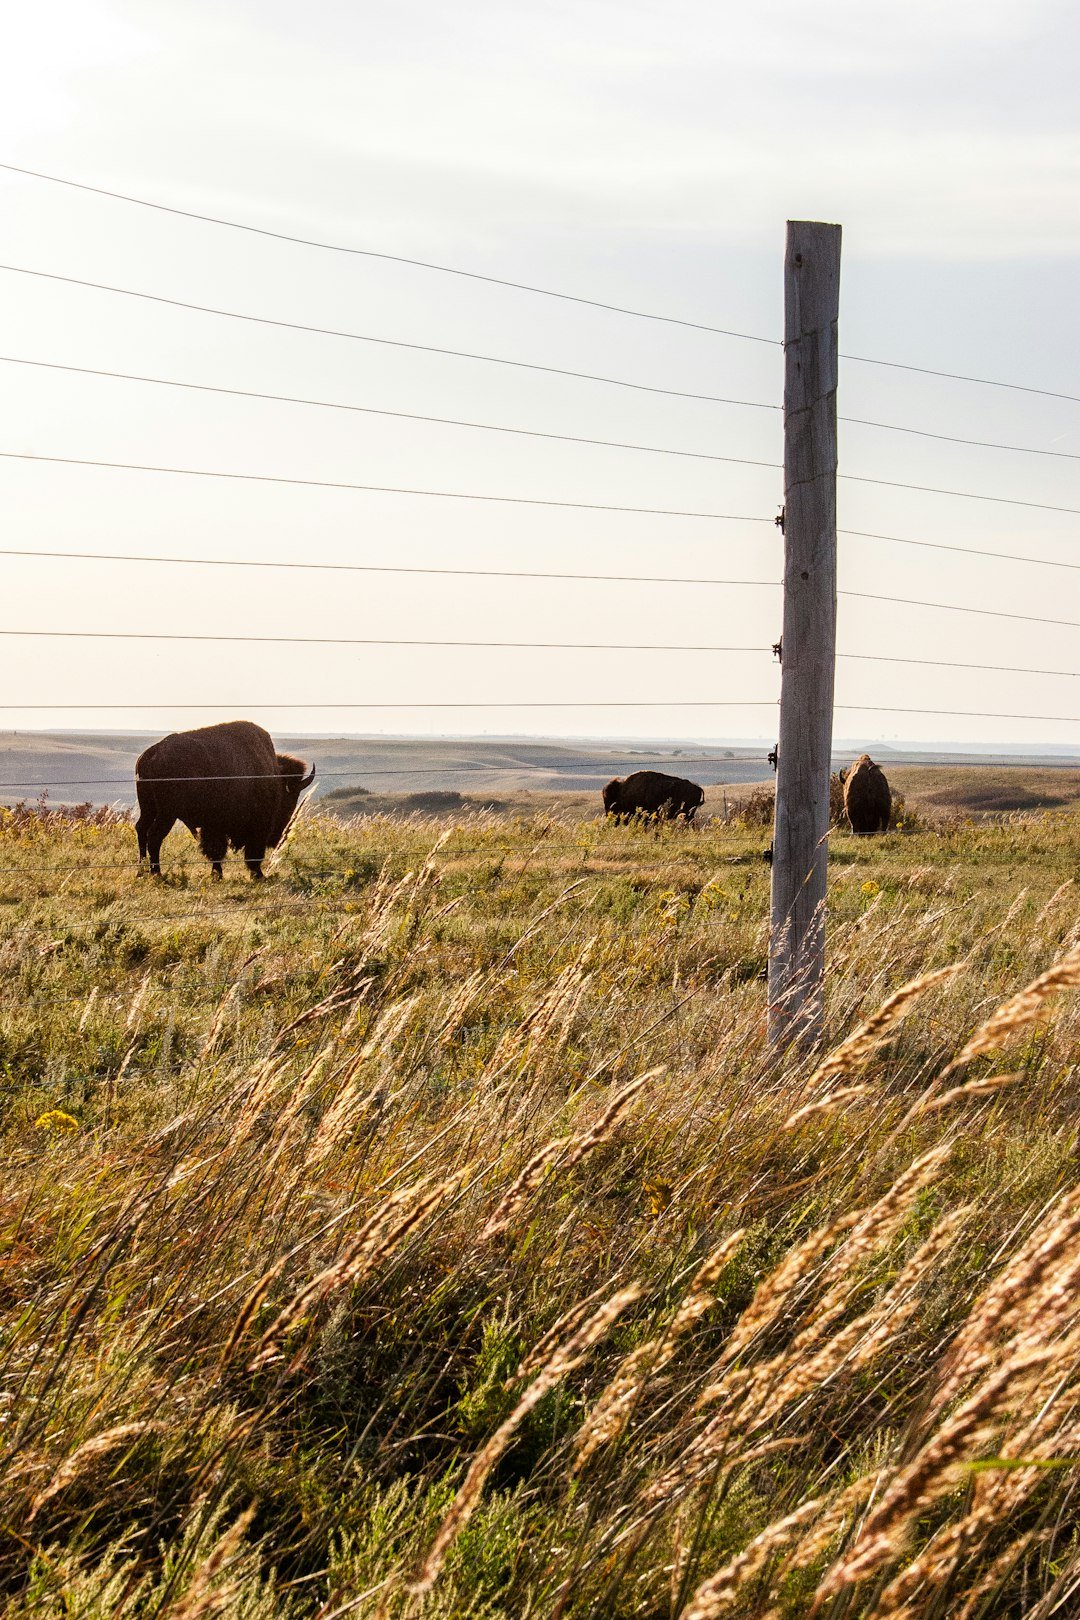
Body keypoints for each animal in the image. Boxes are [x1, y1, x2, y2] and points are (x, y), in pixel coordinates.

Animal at [135, 720, 315, 879]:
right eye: (289, 798)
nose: (280, 836)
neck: (273, 775)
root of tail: (152, 754)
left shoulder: (213, 826)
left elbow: (216, 850)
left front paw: (218, 874)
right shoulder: (252, 826)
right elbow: (244, 851)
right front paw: (257, 875)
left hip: (149, 808)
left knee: (141, 829)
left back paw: (141, 871)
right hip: (167, 813)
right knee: (154, 836)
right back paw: (156, 873)